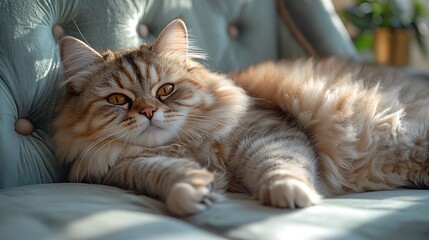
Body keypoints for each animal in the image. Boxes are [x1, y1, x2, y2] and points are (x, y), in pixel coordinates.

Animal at [52, 19, 428, 217]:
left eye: (165, 90)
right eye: (118, 99)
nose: (148, 112)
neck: (187, 145)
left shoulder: (269, 134)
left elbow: (280, 165)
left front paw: (289, 191)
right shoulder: (124, 168)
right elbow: (162, 173)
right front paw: (193, 189)